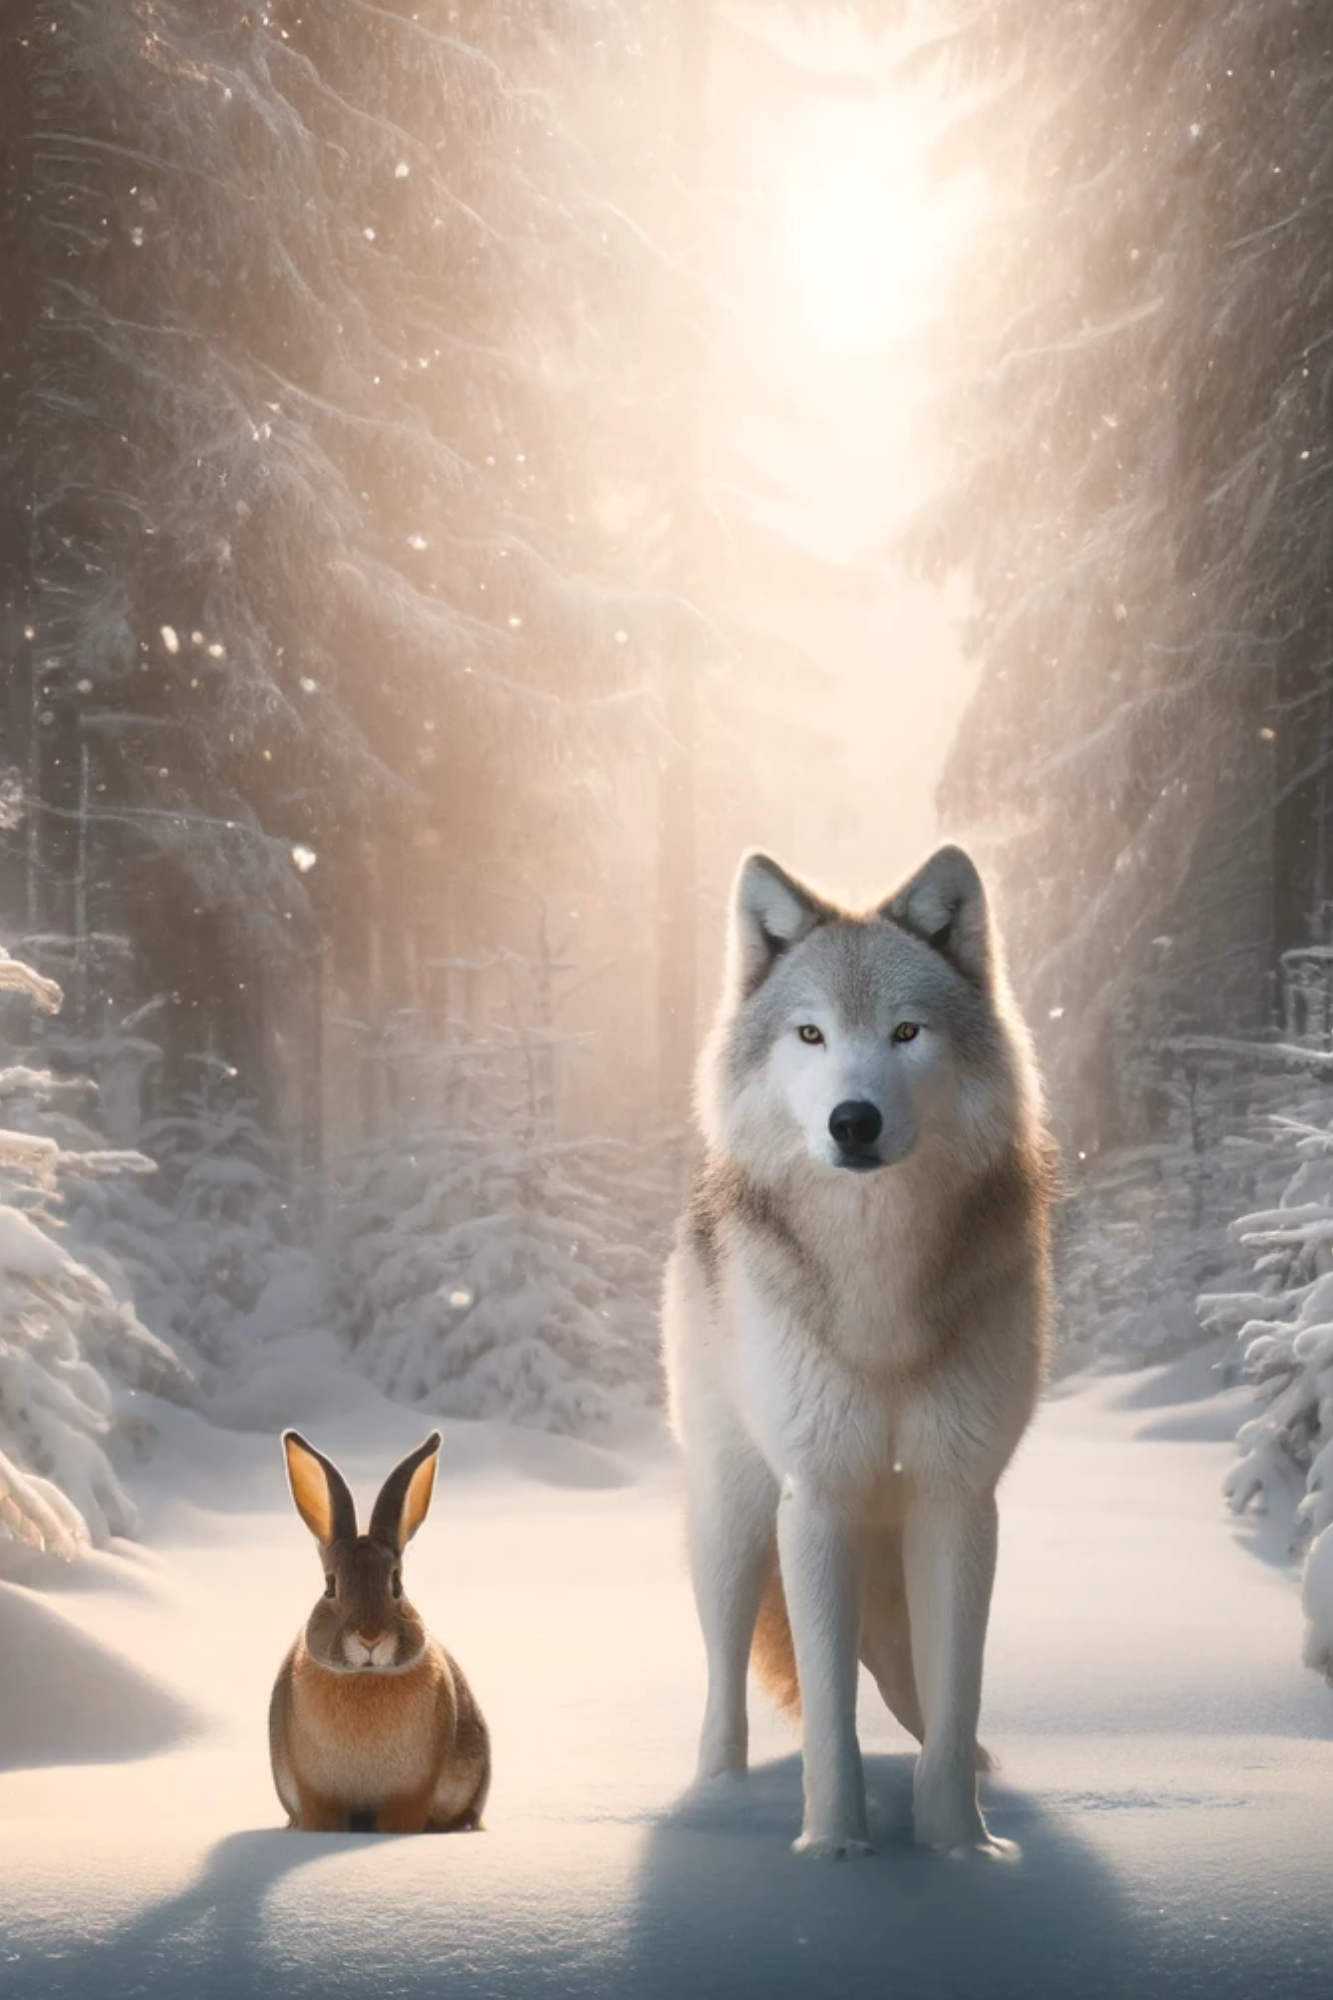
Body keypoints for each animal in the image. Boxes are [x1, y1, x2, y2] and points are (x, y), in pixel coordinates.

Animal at [269, 1428, 490, 1834]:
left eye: (397, 1585)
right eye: (330, 1586)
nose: (370, 1638)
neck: (365, 1677)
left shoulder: (411, 1793)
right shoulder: (316, 1794)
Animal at [662, 844, 1055, 1858]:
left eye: (906, 1031)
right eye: (809, 1035)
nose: (853, 1121)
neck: (877, 1280)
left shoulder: (958, 1499)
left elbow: (954, 1705)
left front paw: (963, 1852)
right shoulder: (819, 1499)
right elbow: (830, 1719)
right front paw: (835, 1853)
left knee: (916, 1687)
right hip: (733, 1520)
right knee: (724, 1681)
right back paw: (714, 1803)